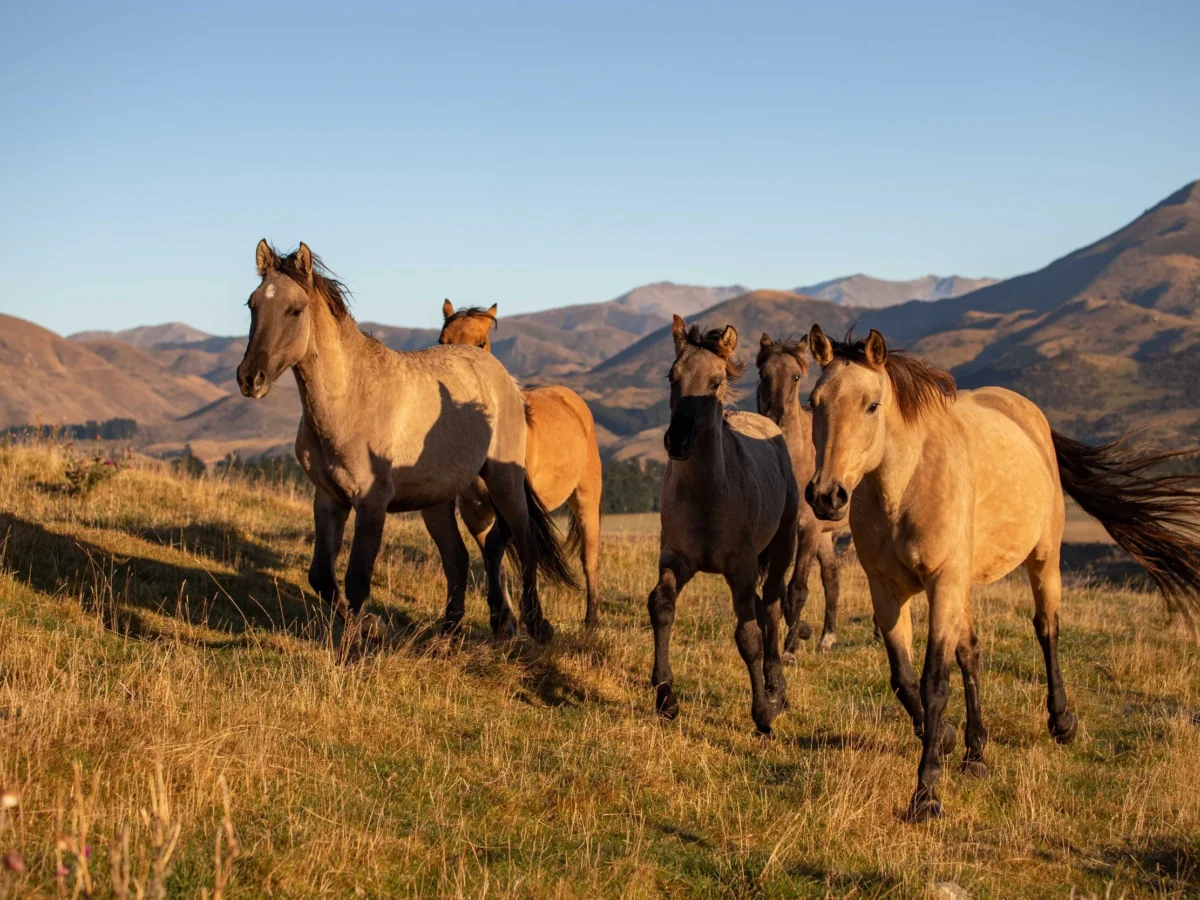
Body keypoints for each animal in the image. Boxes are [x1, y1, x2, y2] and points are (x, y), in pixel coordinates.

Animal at [235, 240, 577, 651]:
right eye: (252, 305)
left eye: (294, 310)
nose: (249, 378)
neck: (350, 396)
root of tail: (503, 378)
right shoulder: (329, 499)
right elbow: (321, 577)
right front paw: (373, 628)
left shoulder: (371, 502)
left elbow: (357, 580)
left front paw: (358, 647)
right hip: (437, 500)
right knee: (458, 559)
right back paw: (446, 636)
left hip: (503, 482)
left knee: (524, 543)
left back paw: (537, 626)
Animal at [437, 301, 603, 627]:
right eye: (442, 342)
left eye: (481, 344)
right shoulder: (474, 511)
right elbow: (493, 559)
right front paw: (505, 619)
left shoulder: (511, 503)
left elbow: (496, 550)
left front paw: (506, 618)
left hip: (586, 498)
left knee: (589, 558)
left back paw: (590, 622)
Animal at [648, 315, 799, 734]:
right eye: (672, 377)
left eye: (715, 383)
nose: (678, 441)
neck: (708, 494)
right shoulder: (676, 558)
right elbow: (662, 607)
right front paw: (666, 698)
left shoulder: (741, 566)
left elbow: (748, 636)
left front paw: (763, 713)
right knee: (764, 608)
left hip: (782, 547)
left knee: (773, 607)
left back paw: (777, 689)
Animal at [755, 333, 843, 655]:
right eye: (763, 374)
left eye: (795, 377)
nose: (775, 417)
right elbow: (779, 587)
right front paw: (801, 631)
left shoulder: (807, 529)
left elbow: (797, 589)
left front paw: (791, 649)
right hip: (827, 536)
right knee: (832, 578)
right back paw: (827, 638)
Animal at [805, 324, 1200, 822]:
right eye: (813, 402)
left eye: (871, 405)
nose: (827, 495)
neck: (905, 486)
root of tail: (1031, 417)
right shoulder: (887, 590)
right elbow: (905, 677)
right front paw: (945, 739)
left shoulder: (942, 583)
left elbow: (935, 682)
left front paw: (926, 794)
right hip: (964, 583)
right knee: (971, 653)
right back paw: (975, 754)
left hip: (1043, 558)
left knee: (1046, 628)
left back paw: (1062, 722)